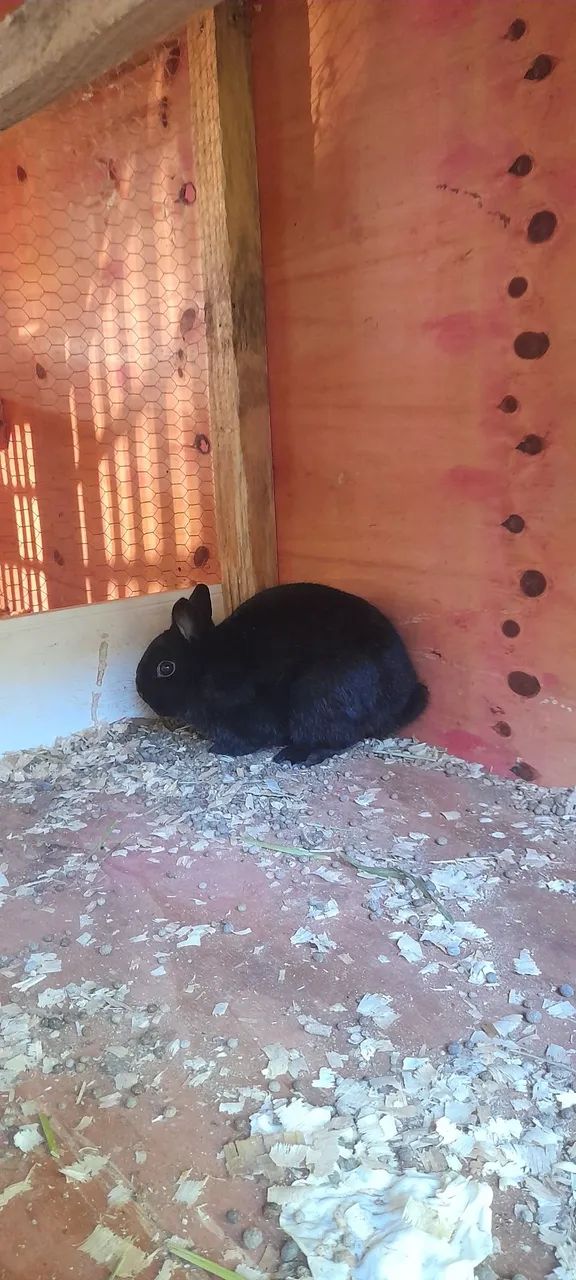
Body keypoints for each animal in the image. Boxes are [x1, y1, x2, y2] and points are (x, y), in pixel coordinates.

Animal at [135, 582, 429, 766]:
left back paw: (296, 756)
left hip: (315, 695)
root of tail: (399, 702)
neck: (207, 664)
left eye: (166, 668)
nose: (141, 692)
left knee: (339, 738)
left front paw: (221, 748)